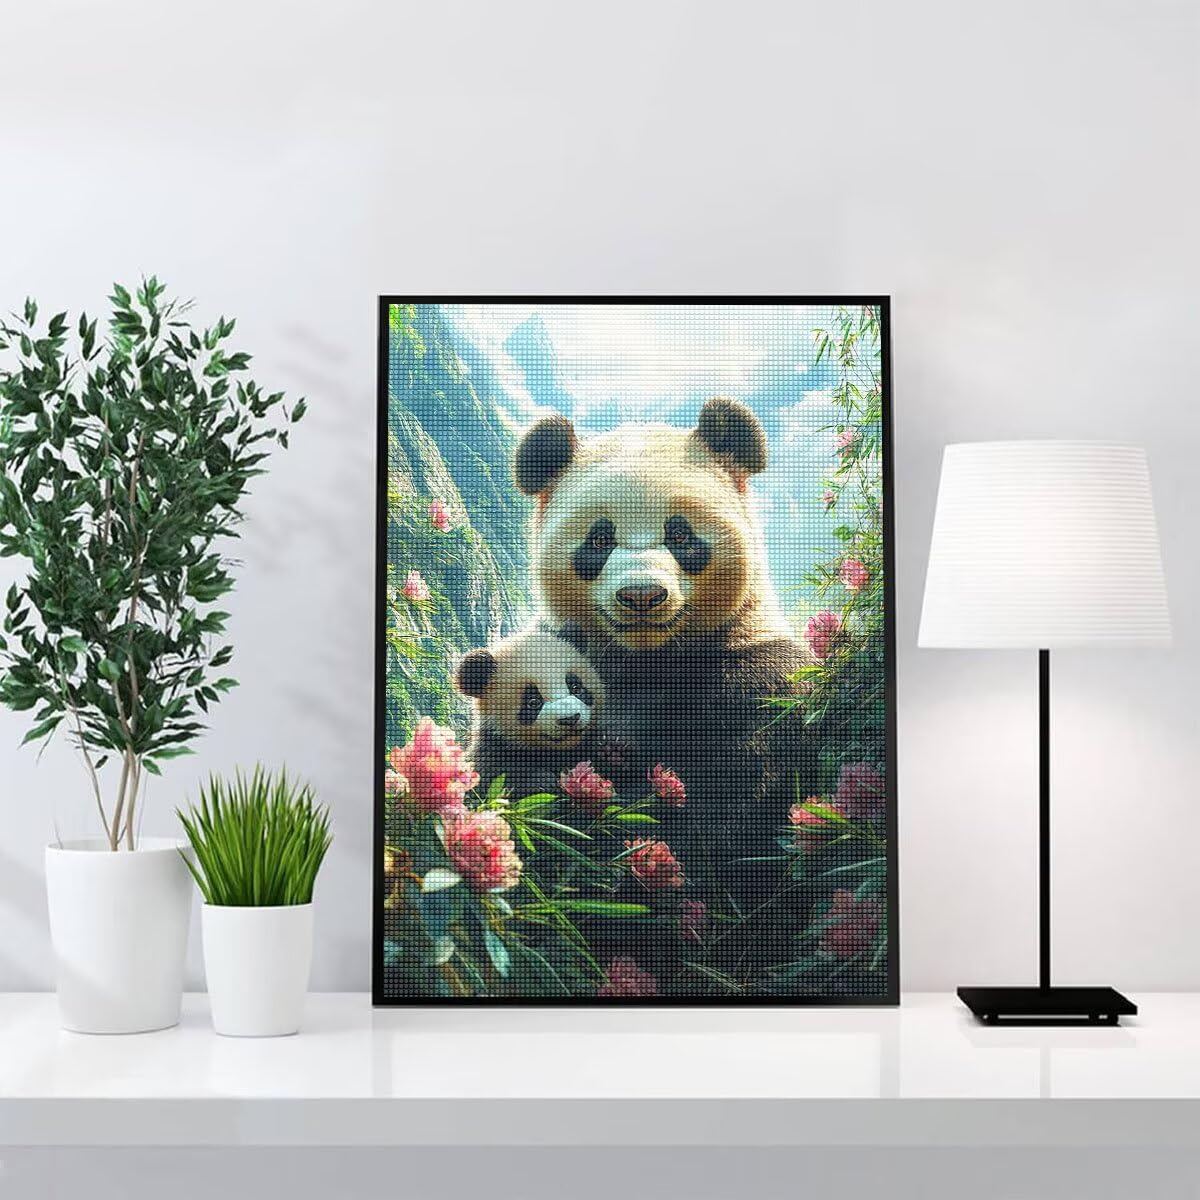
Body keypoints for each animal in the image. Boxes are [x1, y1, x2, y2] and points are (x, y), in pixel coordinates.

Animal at [511, 397, 814, 870]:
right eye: (599, 539)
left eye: (680, 534)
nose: (641, 596)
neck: (646, 655)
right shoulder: (548, 649)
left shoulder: (756, 676)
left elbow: (717, 808)